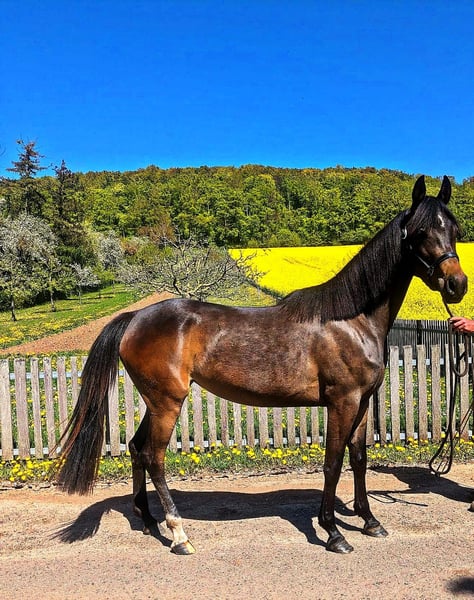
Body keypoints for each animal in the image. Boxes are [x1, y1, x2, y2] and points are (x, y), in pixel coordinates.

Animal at [56, 175, 467, 554]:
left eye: (454, 229)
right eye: (420, 231)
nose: (457, 284)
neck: (350, 319)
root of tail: (135, 318)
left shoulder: (363, 402)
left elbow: (359, 458)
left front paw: (369, 521)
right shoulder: (342, 401)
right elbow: (333, 462)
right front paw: (333, 532)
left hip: (156, 402)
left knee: (135, 447)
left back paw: (148, 520)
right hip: (167, 403)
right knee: (153, 456)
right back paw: (179, 534)